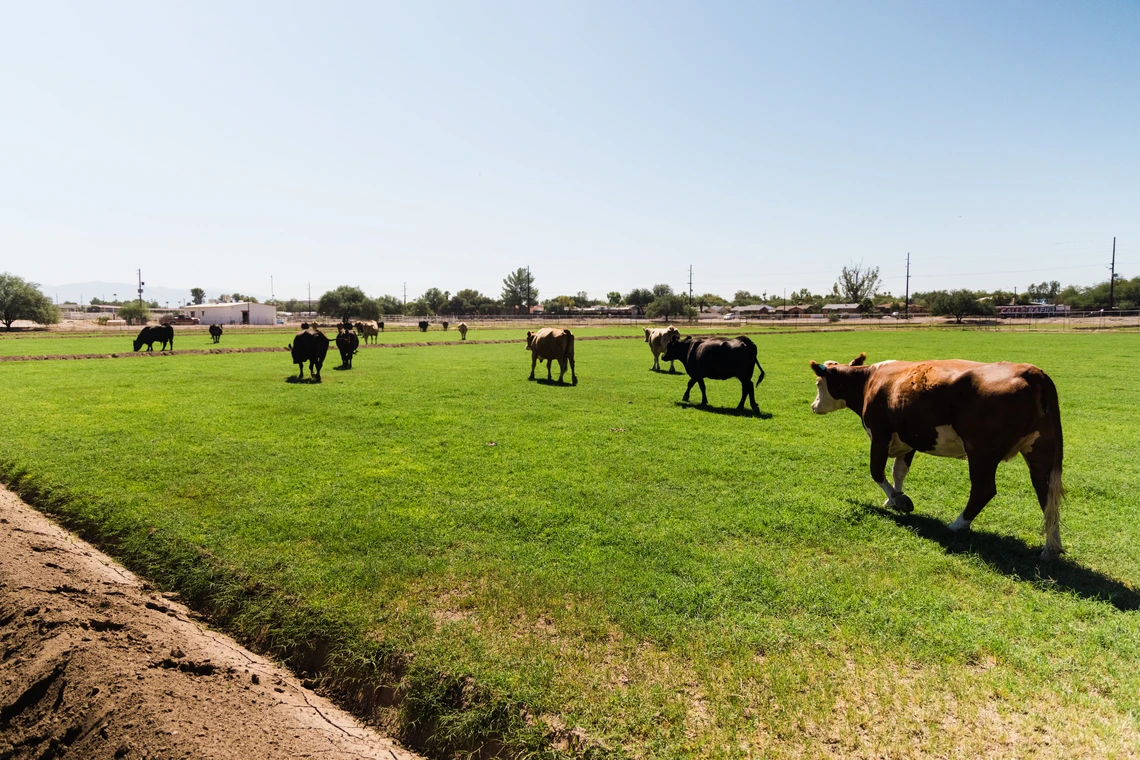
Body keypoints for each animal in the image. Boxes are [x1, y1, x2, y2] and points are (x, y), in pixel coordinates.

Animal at [807, 353, 1062, 562]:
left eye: (819, 383)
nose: (813, 406)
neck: (870, 380)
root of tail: (1030, 372)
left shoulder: (879, 434)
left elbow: (877, 471)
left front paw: (899, 500)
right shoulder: (908, 438)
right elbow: (898, 471)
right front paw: (893, 499)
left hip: (981, 452)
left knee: (984, 489)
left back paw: (957, 525)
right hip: (1040, 451)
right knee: (1047, 494)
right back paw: (1052, 547)